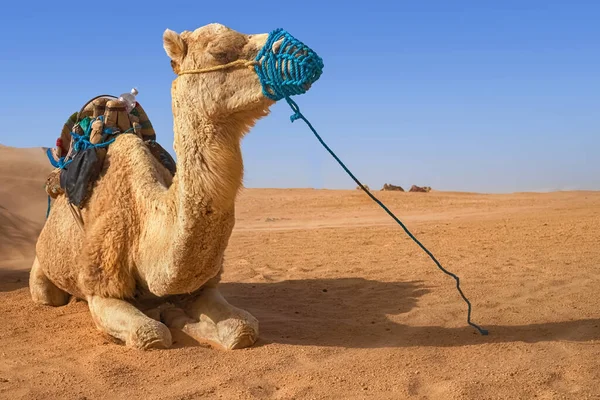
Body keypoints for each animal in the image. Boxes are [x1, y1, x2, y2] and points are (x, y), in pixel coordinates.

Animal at [29, 24, 316, 350]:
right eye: (220, 51)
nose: (300, 52)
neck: (145, 224)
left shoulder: (201, 287)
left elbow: (243, 329)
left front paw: (180, 317)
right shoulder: (100, 286)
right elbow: (152, 334)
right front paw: (168, 318)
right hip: (43, 272)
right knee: (48, 295)